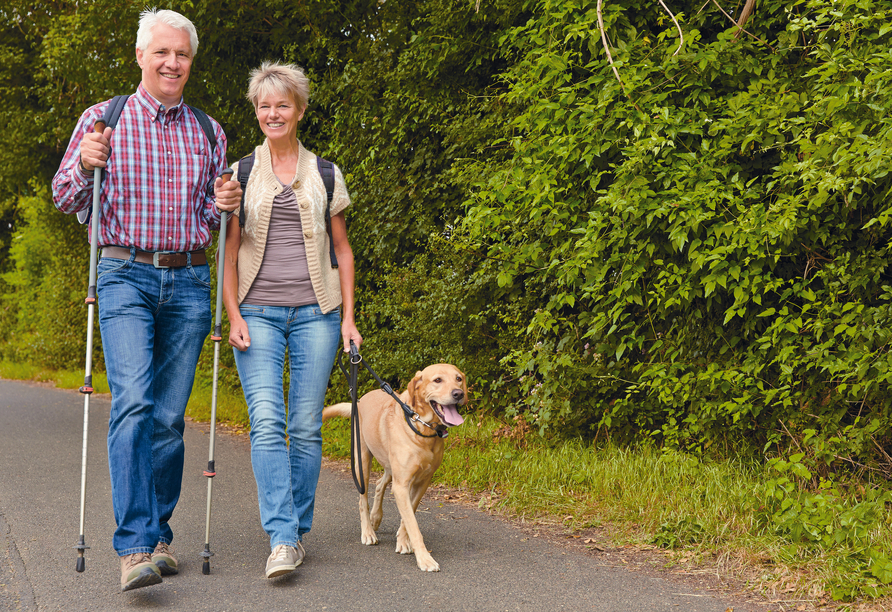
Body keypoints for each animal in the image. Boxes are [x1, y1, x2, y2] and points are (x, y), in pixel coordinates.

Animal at [324, 360, 470, 572]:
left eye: (458, 378)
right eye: (437, 380)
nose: (458, 393)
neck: (421, 428)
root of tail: (358, 401)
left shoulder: (420, 483)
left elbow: (408, 516)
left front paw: (402, 541)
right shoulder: (401, 485)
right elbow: (413, 525)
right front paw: (424, 558)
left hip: (390, 467)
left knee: (380, 484)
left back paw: (376, 517)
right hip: (362, 463)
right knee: (362, 500)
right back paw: (368, 531)